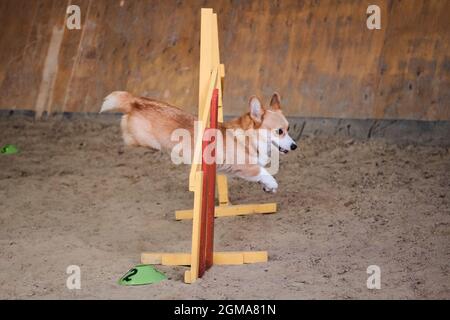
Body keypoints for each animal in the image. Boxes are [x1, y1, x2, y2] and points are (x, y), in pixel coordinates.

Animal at [100, 91, 298, 194]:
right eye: (279, 131)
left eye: (288, 128)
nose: (294, 146)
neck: (249, 137)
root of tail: (135, 101)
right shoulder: (245, 166)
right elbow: (263, 171)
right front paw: (272, 183)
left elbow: (261, 175)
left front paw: (267, 187)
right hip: (143, 140)